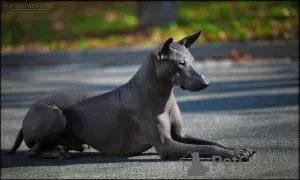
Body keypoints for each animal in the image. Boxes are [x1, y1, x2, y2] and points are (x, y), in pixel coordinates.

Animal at [6, 31, 255, 160]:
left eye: (193, 61)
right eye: (181, 64)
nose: (206, 82)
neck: (160, 94)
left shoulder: (181, 135)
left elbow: (213, 142)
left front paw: (237, 149)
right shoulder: (167, 146)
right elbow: (205, 148)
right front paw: (235, 154)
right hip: (53, 114)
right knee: (33, 152)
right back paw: (58, 153)